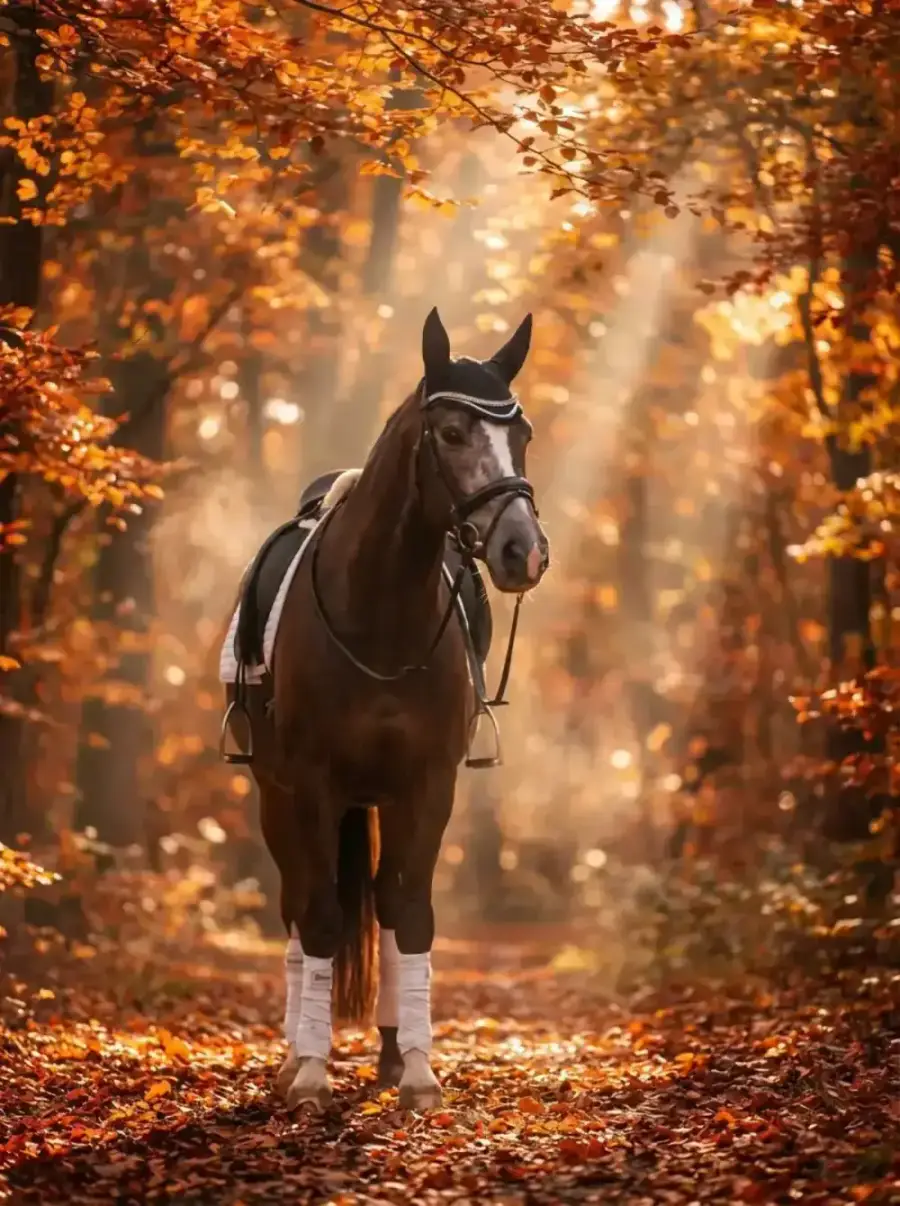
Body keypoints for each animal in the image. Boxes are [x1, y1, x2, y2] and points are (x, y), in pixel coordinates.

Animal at [221, 307, 550, 1111]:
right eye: (453, 432)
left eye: (523, 432)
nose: (524, 552)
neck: (379, 614)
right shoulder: (311, 787)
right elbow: (321, 918)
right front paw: (310, 1073)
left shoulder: (428, 787)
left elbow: (410, 916)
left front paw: (419, 1070)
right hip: (276, 797)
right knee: (299, 907)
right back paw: (293, 1058)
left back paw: (394, 1056)